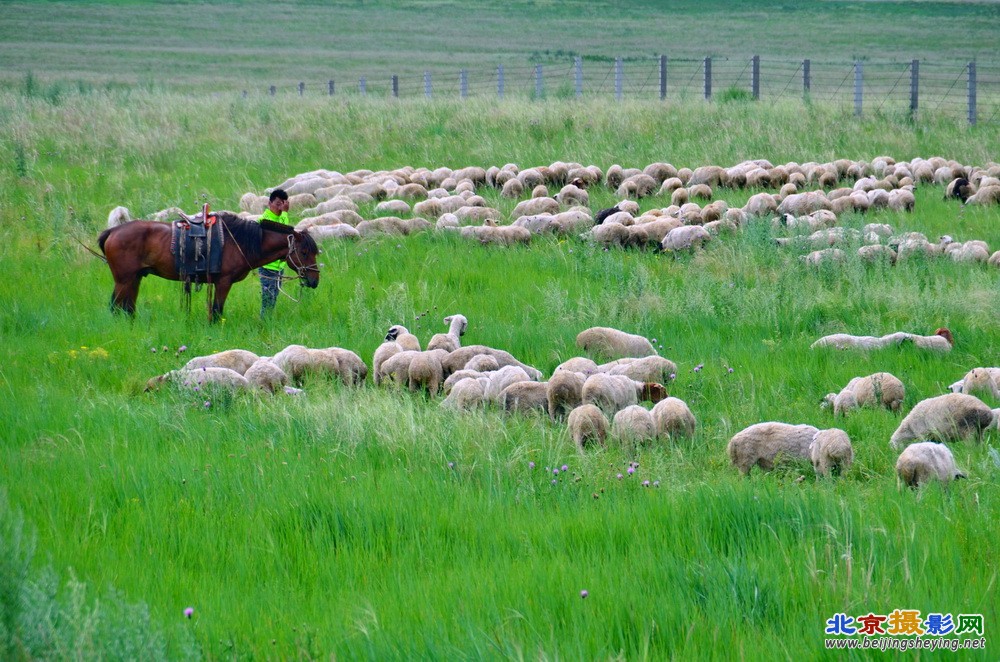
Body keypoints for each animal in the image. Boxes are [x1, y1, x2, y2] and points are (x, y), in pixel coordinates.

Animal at [96, 210, 318, 320]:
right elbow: (217, 310)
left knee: (127, 308)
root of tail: (113, 231)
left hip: (134, 279)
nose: (315, 280)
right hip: (124, 280)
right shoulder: (223, 282)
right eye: (304, 252)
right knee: (116, 307)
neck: (239, 241)